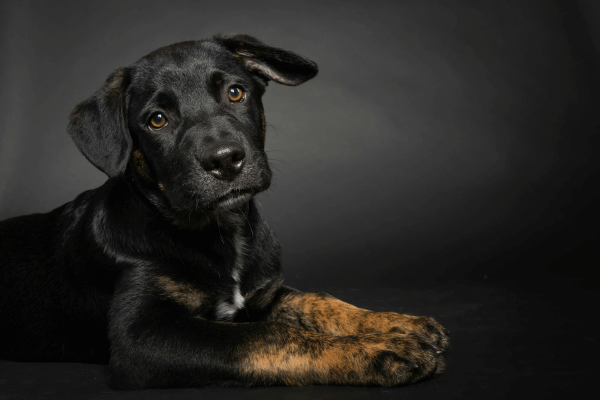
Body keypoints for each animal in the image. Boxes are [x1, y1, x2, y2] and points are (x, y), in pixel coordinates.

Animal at [0, 34, 448, 388]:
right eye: (157, 120)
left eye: (235, 92)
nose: (225, 160)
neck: (220, 232)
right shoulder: (140, 338)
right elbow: (267, 336)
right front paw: (380, 351)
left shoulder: (263, 294)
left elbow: (319, 301)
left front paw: (398, 324)